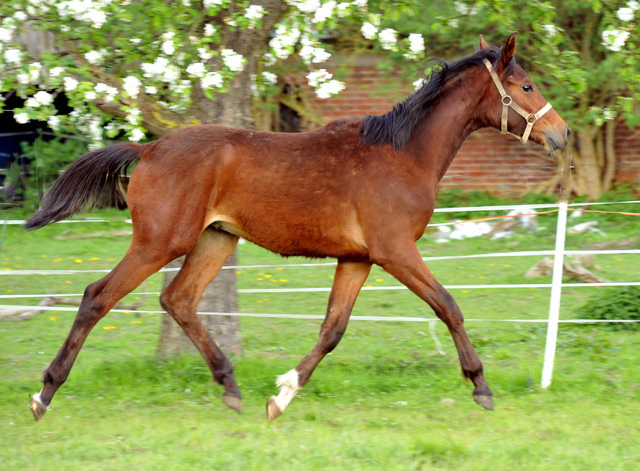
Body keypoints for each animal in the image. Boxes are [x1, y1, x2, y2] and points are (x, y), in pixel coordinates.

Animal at [25, 34, 568, 424]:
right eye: (526, 87)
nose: (561, 134)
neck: (403, 155)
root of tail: (149, 148)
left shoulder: (358, 258)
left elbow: (332, 329)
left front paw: (281, 396)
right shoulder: (395, 252)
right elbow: (449, 307)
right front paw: (481, 387)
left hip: (216, 239)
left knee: (177, 299)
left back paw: (231, 388)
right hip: (160, 242)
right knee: (98, 296)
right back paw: (43, 394)